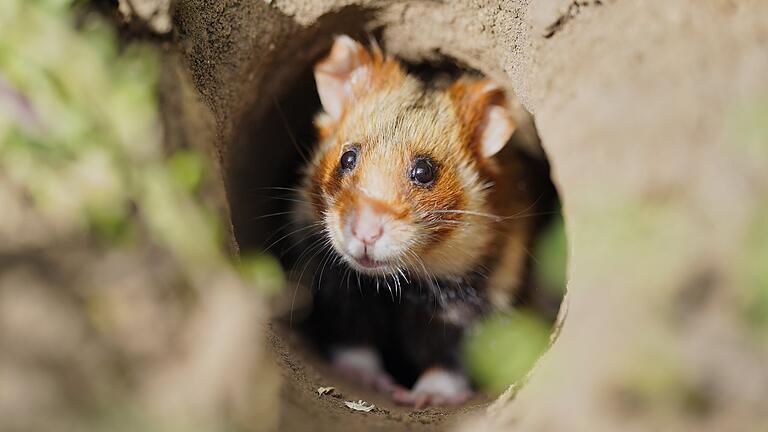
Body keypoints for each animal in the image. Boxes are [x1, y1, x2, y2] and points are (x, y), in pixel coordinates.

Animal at [292, 34, 544, 408]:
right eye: (347, 158)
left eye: (425, 171)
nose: (365, 233)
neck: (397, 285)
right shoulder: (342, 287)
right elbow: (354, 335)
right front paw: (366, 379)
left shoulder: (468, 306)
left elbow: (448, 359)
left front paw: (422, 398)